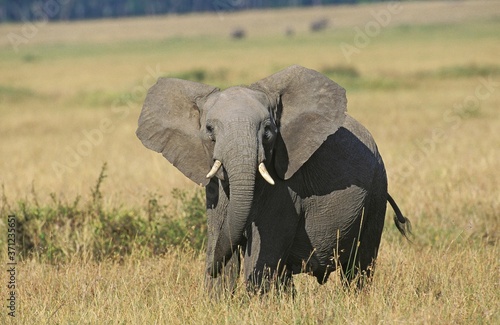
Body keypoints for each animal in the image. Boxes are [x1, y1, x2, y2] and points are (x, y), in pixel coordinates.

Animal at [137, 65, 410, 294]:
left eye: (268, 131)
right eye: (209, 130)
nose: (209, 268)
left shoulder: (286, 190)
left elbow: (263, 256)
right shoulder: (215, 190)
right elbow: (222, 243)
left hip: (376, 191)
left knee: (359, 266)